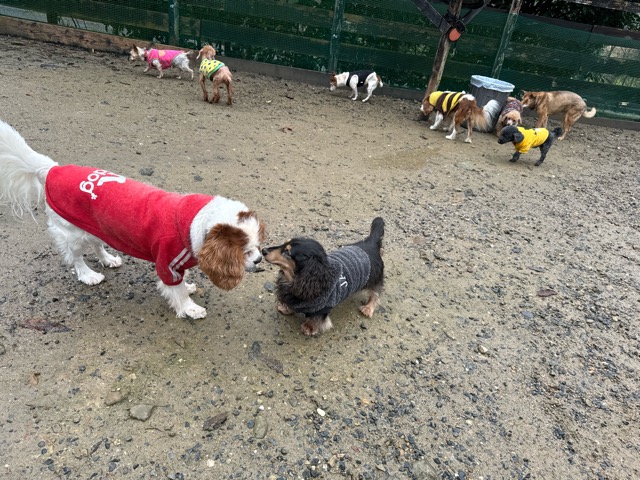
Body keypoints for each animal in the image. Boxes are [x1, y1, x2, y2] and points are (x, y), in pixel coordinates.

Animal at [0, 120, 265, 319]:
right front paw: (190, 307)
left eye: (257, 246)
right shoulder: (167, 263)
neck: (192, 222)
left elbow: (183, 282)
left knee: (96, 244)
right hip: (72, 233)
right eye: (244, 252)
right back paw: (88, 275)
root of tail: (54, 170)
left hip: (95, 226)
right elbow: (176, 290)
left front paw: (189, 287)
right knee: (76, 258)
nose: (261, 259)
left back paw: (108, 259)